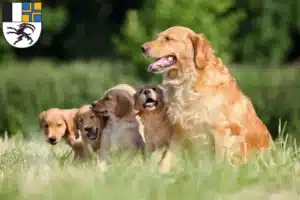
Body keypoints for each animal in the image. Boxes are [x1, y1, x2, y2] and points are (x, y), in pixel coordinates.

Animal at [141, 25, 272, 165]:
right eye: (158, 37)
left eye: (168, 38)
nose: (142, 48)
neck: (189, 82)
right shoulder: (179, 131)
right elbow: (166, 161)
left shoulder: (222, 131)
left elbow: (220, 162)